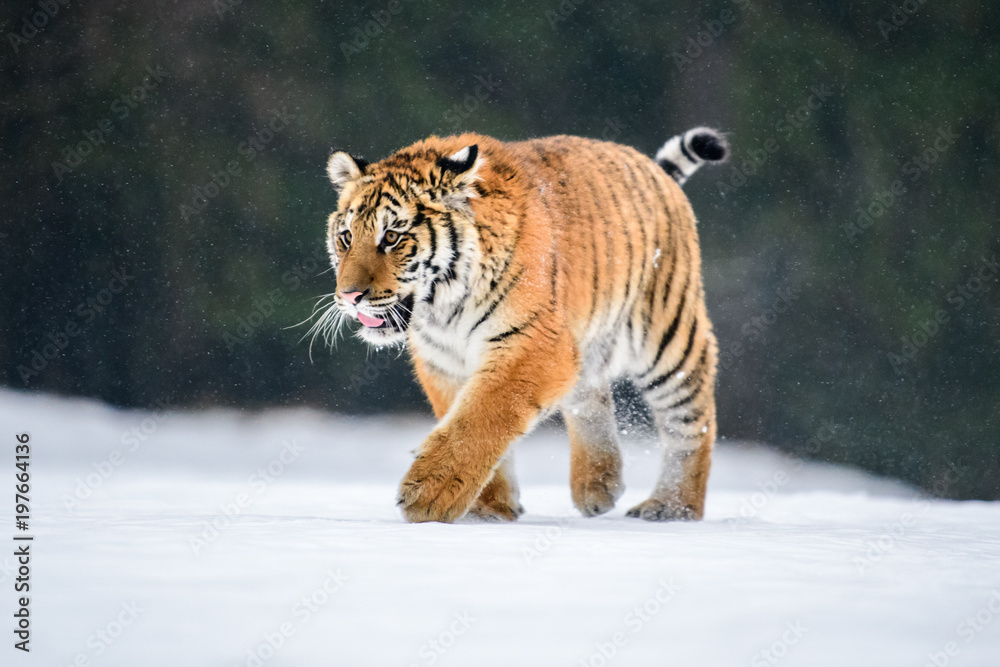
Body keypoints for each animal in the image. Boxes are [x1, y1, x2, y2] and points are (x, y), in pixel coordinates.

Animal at [317, 126, 728, 523]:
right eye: (346, 237)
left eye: (391, 237)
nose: (349, 296)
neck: (444, 311)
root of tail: (654, 169)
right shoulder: (444, 363)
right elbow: (462, 417)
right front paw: (489, 509)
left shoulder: (532, 342)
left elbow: (479, 417)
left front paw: (429, 494)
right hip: (585, 343)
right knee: (591, 399)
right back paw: (598, 487)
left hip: (667, 337)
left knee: (693, 422)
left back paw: (673, 507)